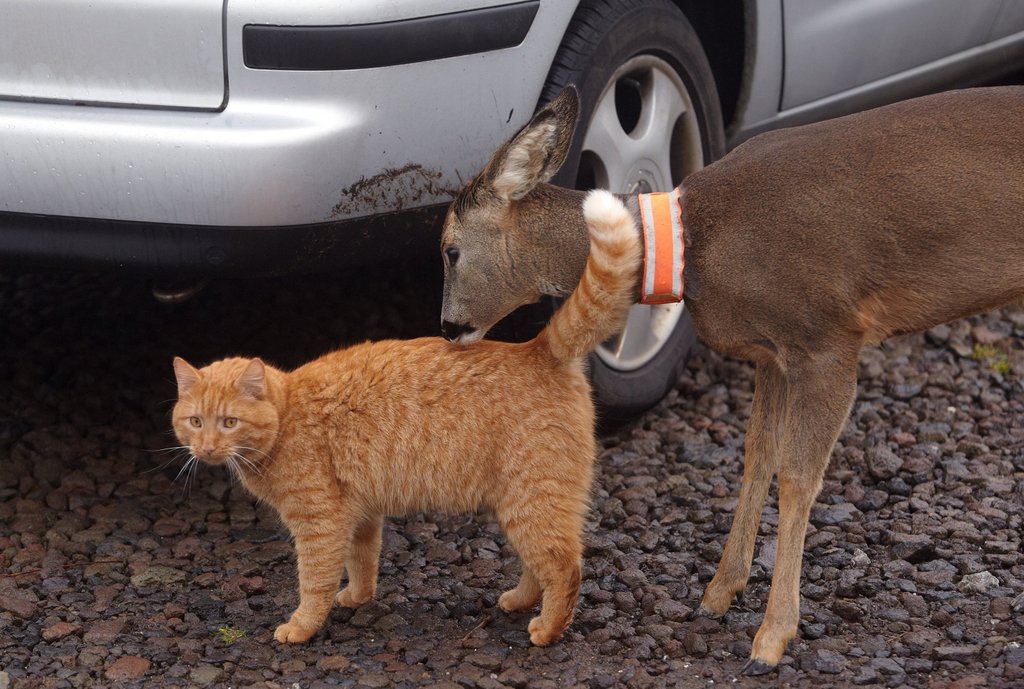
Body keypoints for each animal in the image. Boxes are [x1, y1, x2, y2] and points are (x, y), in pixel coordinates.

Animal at [170, 190, 641, 646]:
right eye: (195, 422)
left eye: (228, 423)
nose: (206, 448)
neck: (286, 419)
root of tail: (537, 347)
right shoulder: (360, 515)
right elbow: (362, 561)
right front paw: (359, 597)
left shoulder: (320, 523)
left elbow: (315, 581)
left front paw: (301, 627)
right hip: (520, 503)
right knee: (537, 561)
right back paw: (521, 601)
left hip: (531, 498)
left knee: (564, 565)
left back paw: (548, 629)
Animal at [438, 84, 1024, 674]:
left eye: (449, 249)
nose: (446, 327)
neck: (694, 244)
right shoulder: (774, 354)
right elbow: (757, 455)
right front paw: (719, 592)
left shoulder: (829, 337)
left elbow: (798, 479)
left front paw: (772, 637)